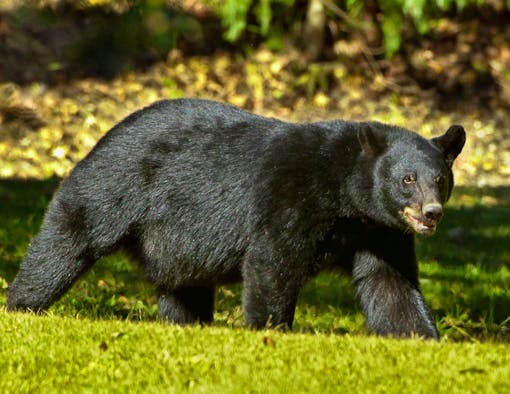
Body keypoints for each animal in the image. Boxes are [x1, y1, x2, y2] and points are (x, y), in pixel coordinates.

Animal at [5, 98, 466, 338]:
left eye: (440, 179)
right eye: (407, 179)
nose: (431, 213)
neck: (344, 195)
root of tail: (106, 133)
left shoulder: (378, 230)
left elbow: (390, 282)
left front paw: (422, 338)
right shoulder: (291, 197)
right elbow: (272, 263)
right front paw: (270, 332)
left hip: (176, 242)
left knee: (183, 287)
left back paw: (187, 324)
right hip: (114, 185)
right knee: (68, 239)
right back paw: (22, 305)